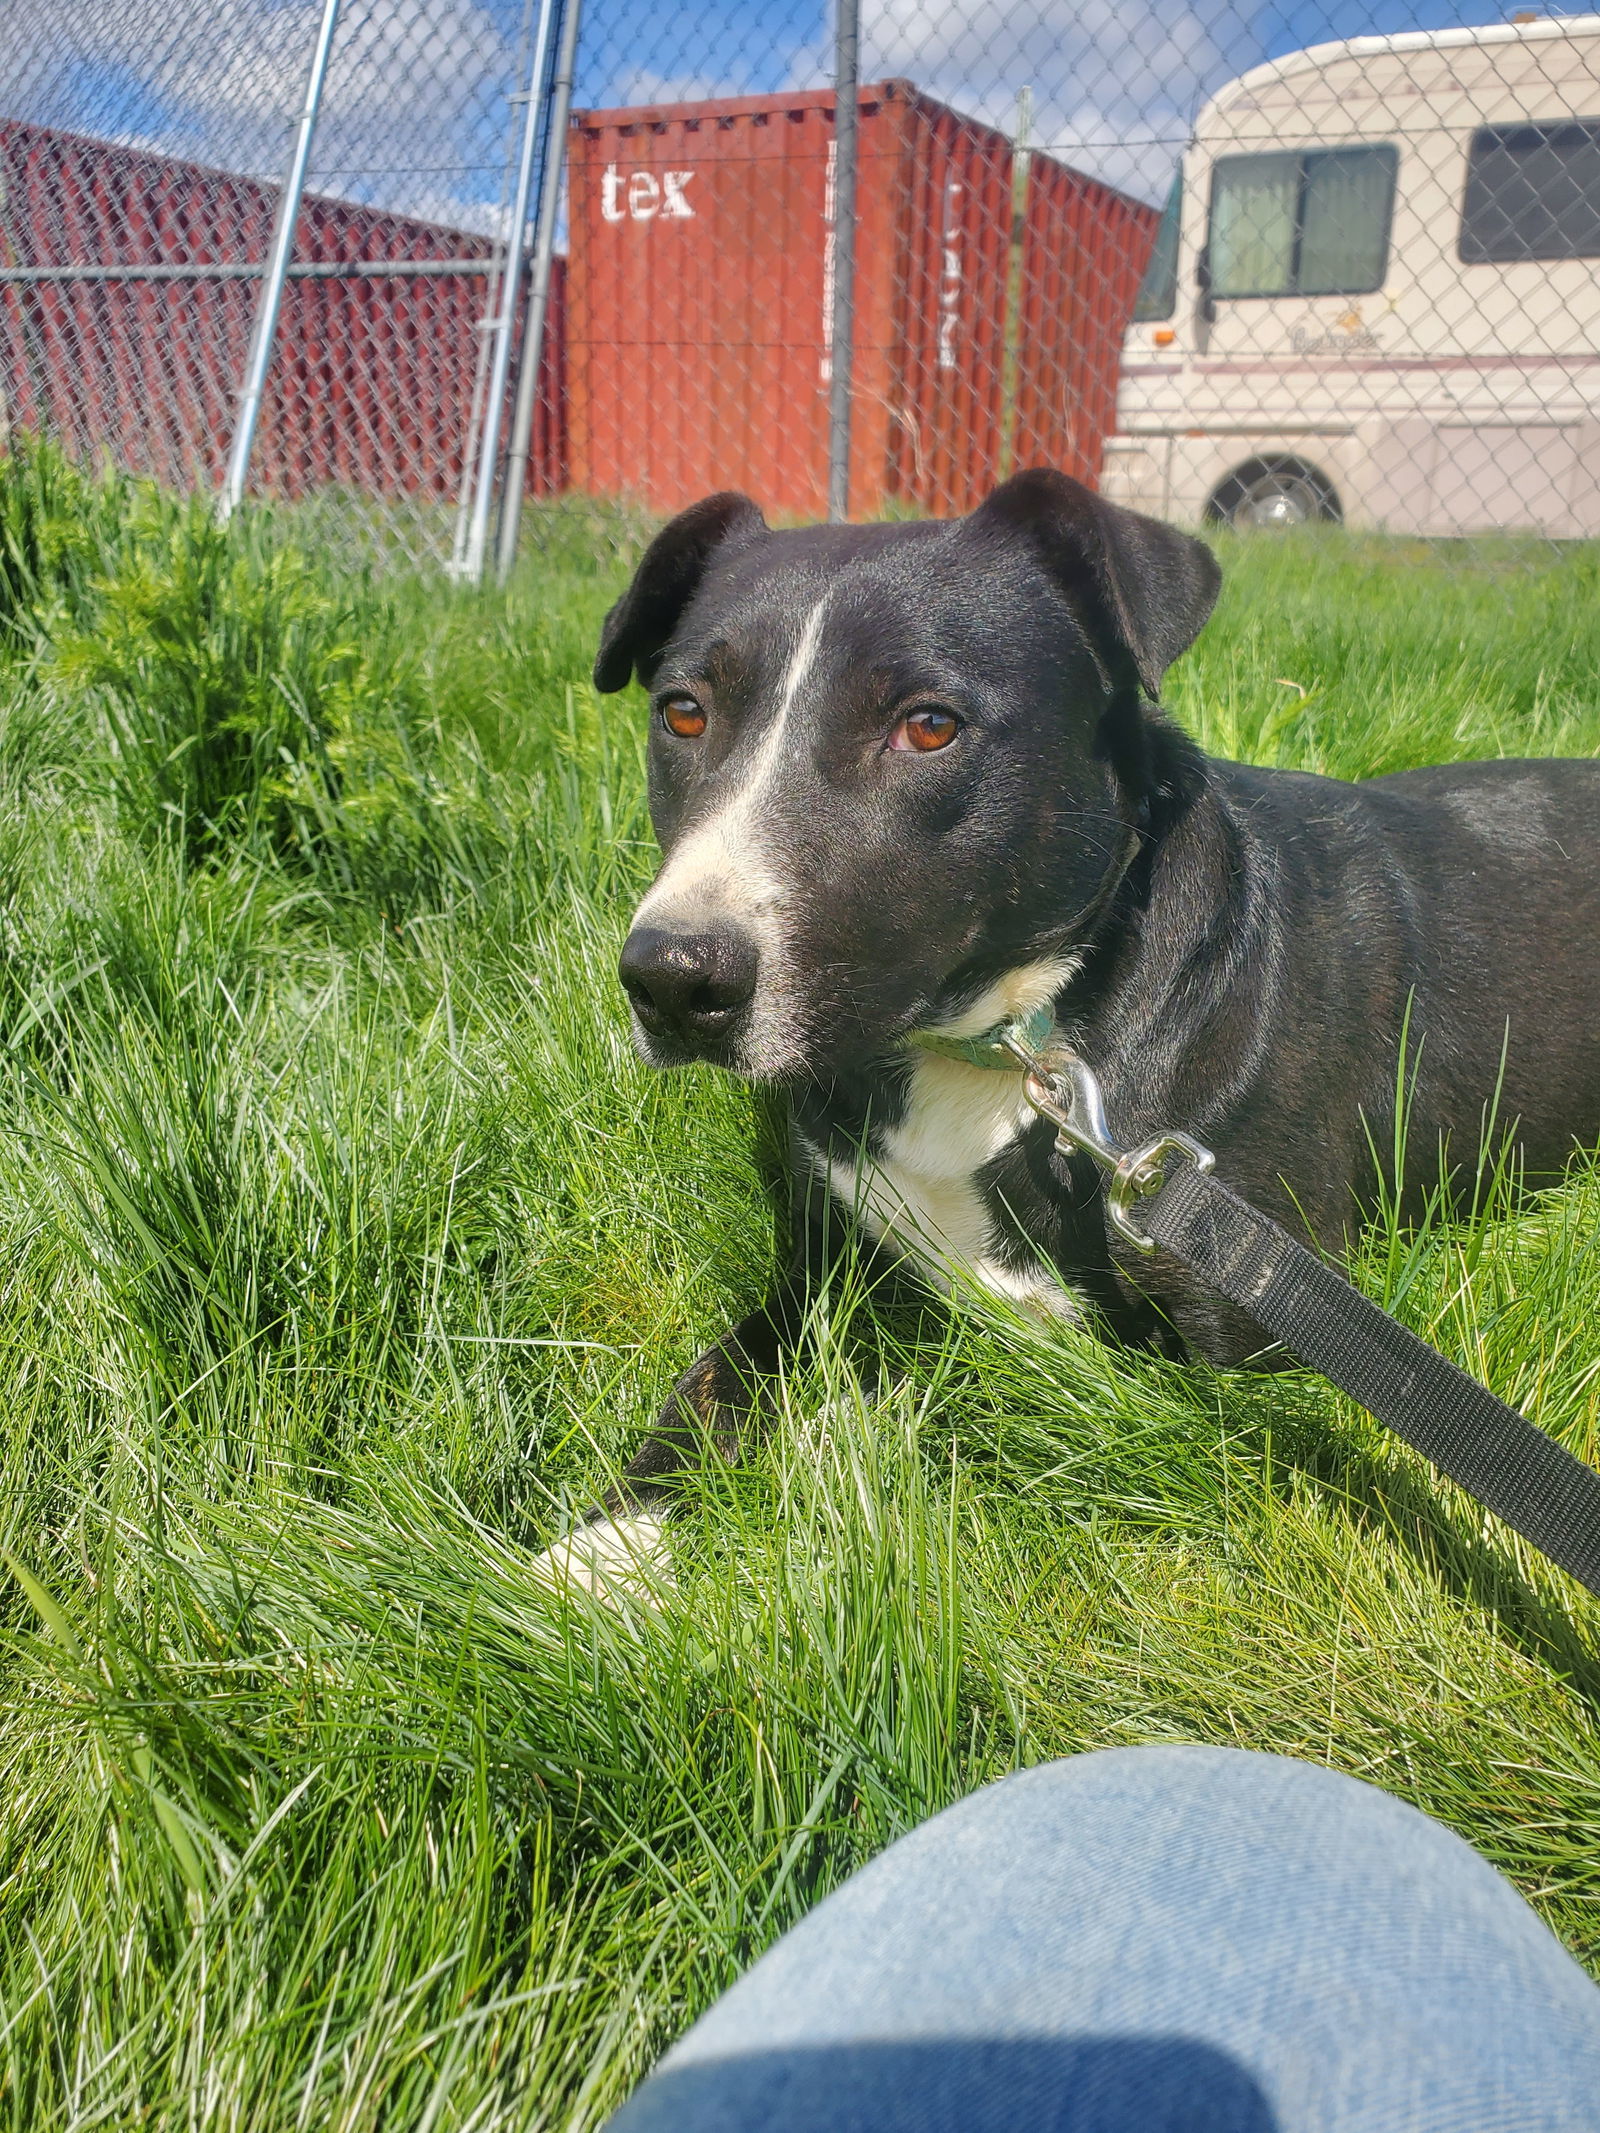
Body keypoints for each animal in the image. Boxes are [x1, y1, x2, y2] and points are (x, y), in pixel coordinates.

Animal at [546, 475, 1595, 1586]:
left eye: (928, 726)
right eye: (683, 713)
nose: (671, 979)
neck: (996, 1043)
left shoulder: (1231, 1354)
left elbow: (972, 1374)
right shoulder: (826, 1269)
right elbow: (722, 1374)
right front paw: (610, 1541)